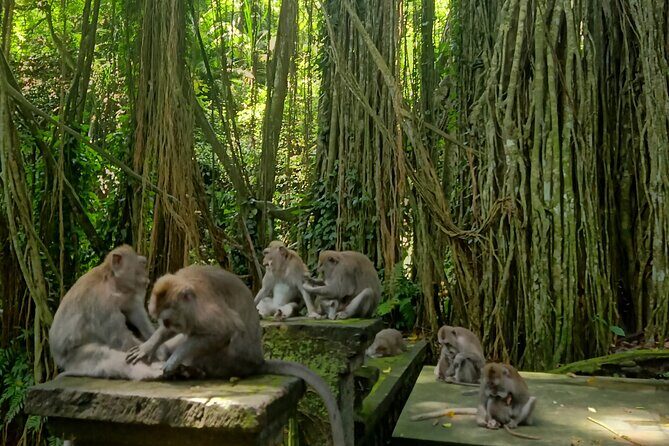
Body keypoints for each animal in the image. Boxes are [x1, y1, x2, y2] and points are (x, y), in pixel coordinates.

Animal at [49, 245, 163, 380]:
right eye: (142, 264)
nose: (146, 275)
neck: (112, 282)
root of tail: (59, 360)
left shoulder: (127, 295)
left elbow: (136, 315)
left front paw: (157, 344)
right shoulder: (102, 305)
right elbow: (120, 338)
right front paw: (156, 353)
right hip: (75, 357)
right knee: (104, 355)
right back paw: (150, 372)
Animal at [126, 265, 345, 445]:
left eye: (169, 320)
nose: (170, 325)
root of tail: (258, 361)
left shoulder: (204, 310)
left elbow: (224, 330)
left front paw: (172, 361)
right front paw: (148, 347)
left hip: (233, 360)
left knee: (229, 334)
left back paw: (192, 371)